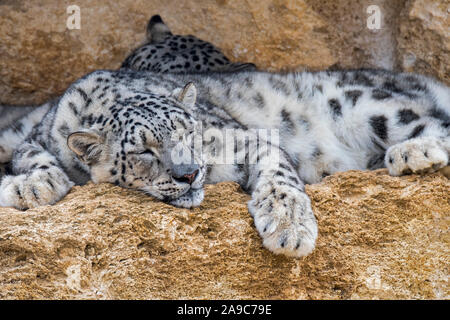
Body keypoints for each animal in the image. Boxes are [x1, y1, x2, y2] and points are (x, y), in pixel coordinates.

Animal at [0, 67, 448, 258]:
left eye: (188, 131)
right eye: (144, 151)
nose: (190, 173)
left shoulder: (243, 137)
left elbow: (278, 172)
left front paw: (289, 227)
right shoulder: (38, 135)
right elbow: (30, 153)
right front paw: (31, 186)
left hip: (369, 105)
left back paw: (413, 153)